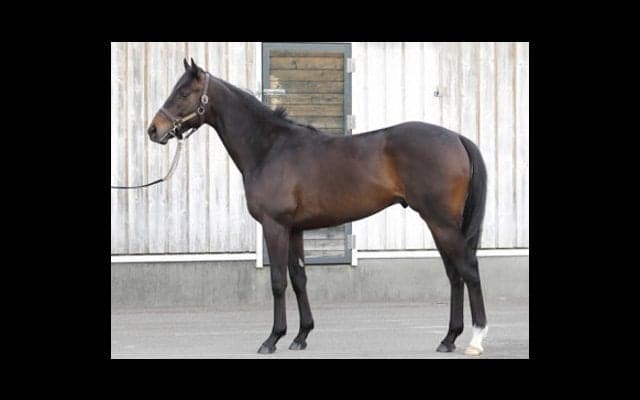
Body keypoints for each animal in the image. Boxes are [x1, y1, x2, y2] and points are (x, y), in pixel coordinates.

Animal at [147, 58, 489, 356]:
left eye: (183, 93)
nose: (154, 130)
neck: (269, 149)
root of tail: (456, 138)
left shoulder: (275, 226)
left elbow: (278, 281)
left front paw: (272, 339)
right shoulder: (294, 229)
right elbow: (299, 279)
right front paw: (301, 336)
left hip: (441, 223)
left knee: (468, 270)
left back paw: (475, 339)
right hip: (439, 224)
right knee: (454, 274)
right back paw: (448, 338)